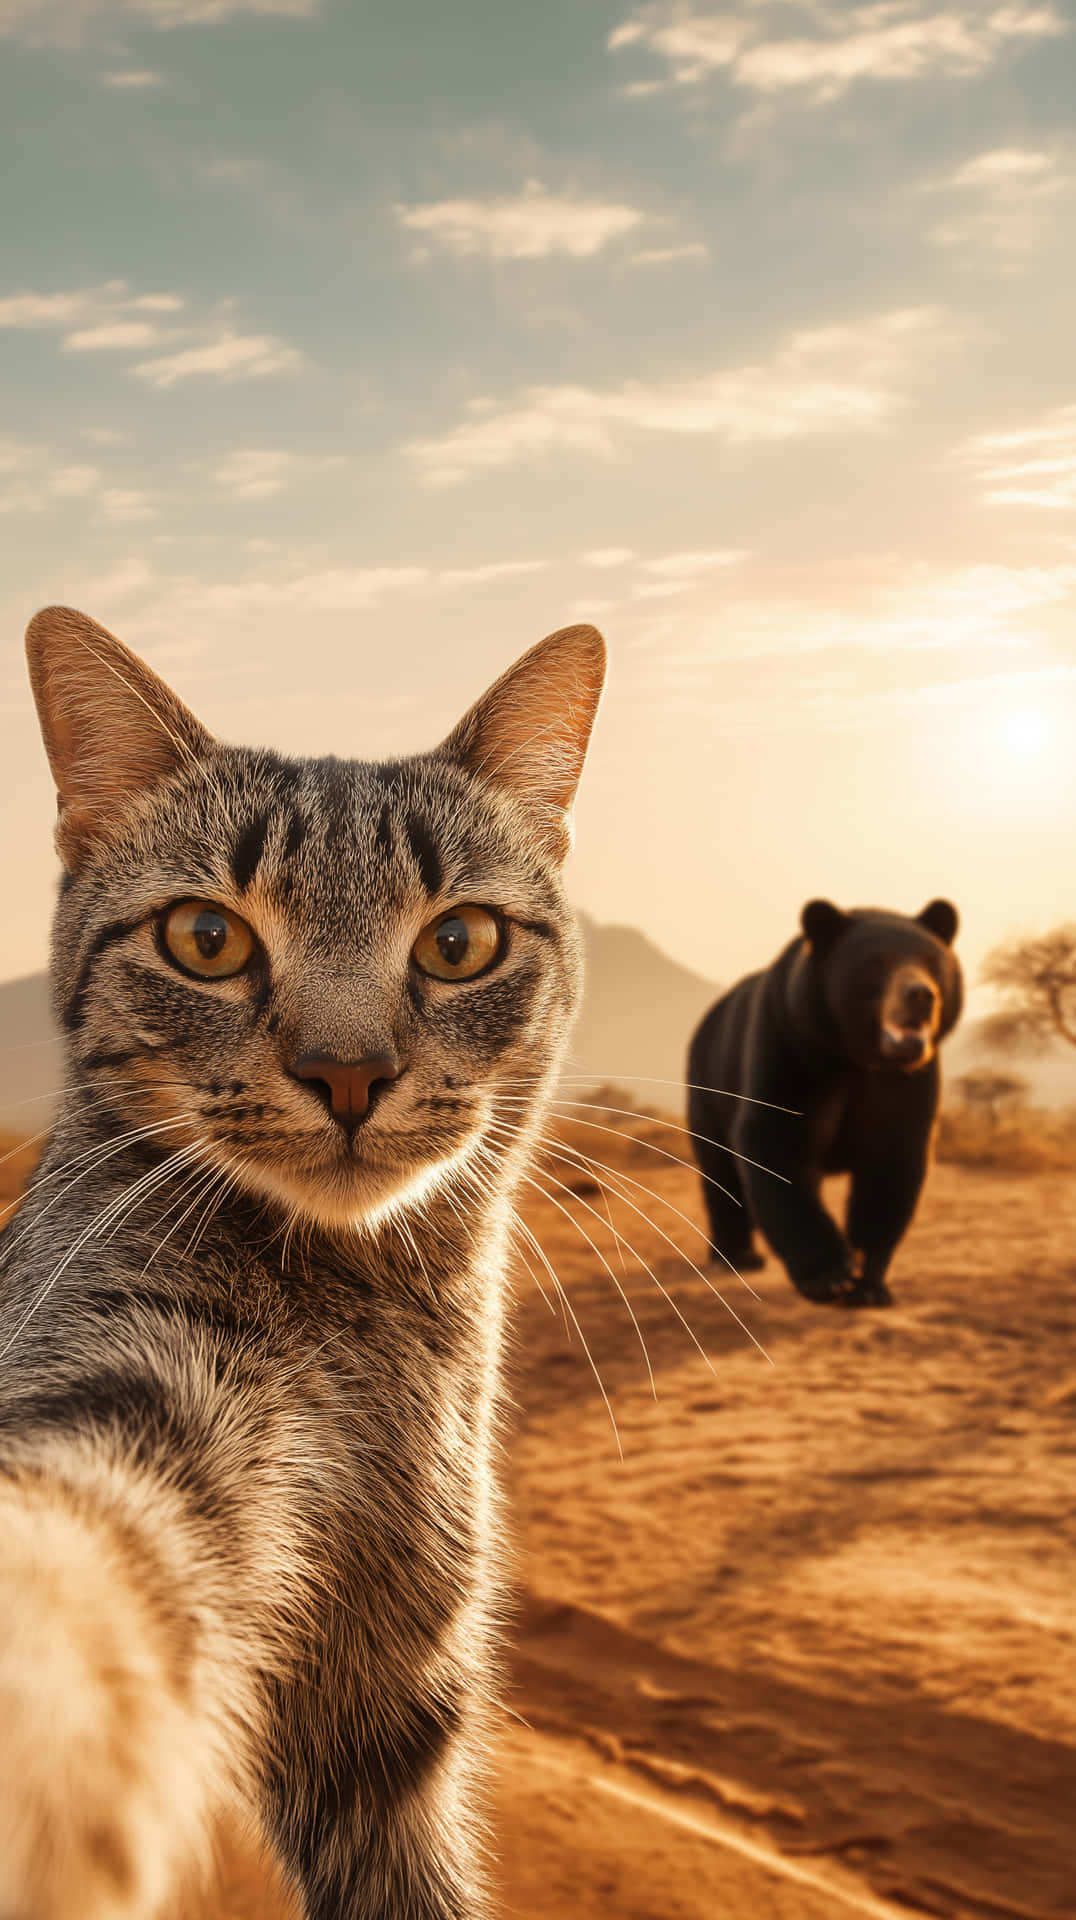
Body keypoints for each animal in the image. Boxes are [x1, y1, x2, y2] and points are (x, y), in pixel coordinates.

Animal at [686, 899, 963, 1308]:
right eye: (877, 962)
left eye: (932, 961)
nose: (921, 995)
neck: (854, 1057)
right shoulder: (789, 1045)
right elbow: (774, 1138)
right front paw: (829, 1276)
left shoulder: (906, 1080)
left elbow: (893, 1159)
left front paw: (869, 1283)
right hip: (708, 1085)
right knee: (718, 1170)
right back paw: (737, 1256)